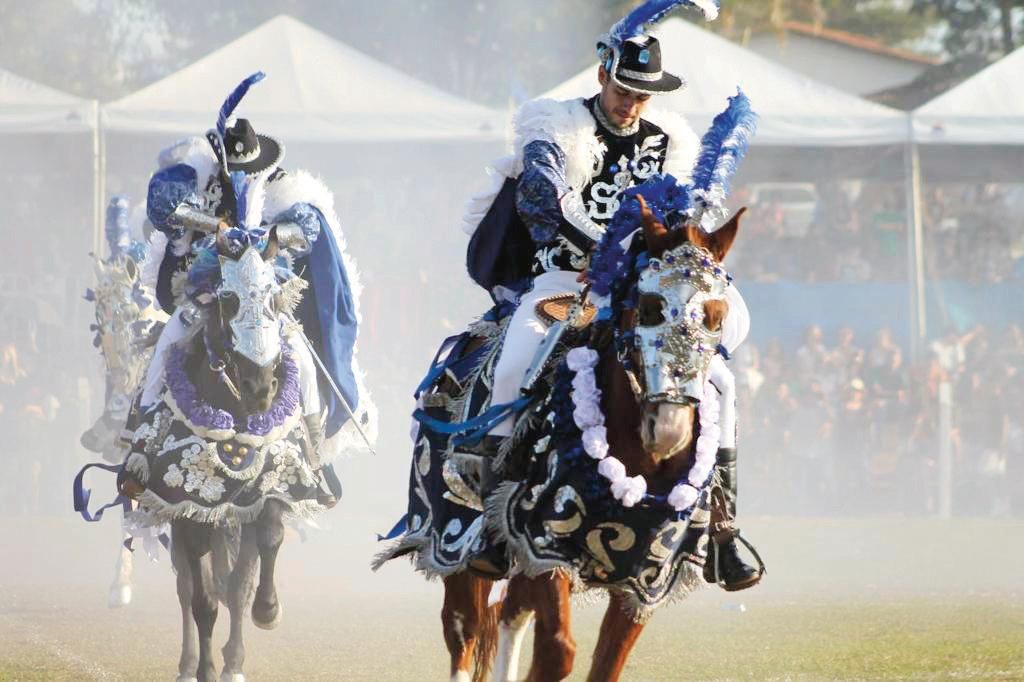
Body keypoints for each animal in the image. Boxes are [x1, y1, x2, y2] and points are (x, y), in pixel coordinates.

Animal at [442, 197, 745, 679]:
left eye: (717, 317)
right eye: (649, 307)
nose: (669, 429)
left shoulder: (645, 579)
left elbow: (604, 663)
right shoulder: (546, 545)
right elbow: (557, 650)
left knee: (510, 615)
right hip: (456, 544)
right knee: (464, 632)